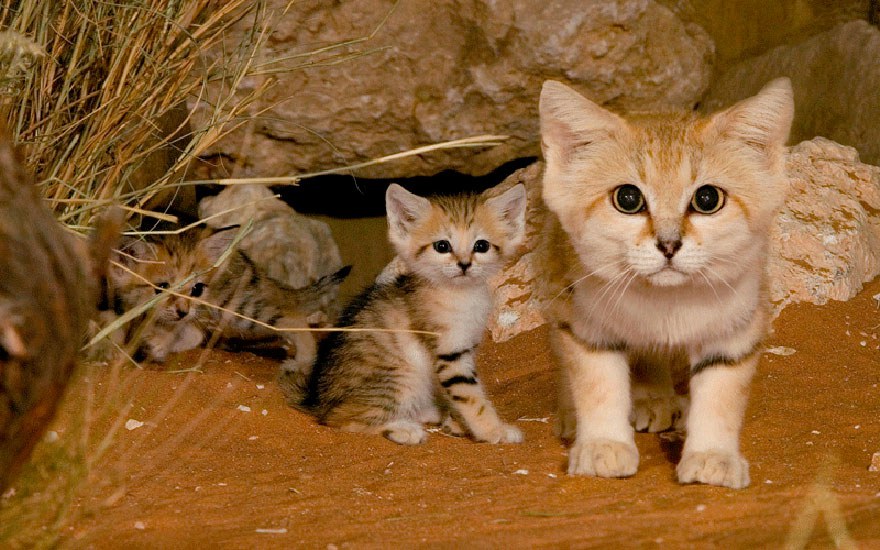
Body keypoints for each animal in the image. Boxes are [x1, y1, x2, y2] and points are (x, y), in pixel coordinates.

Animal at [112, 226, 350, 368]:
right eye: (161, 288)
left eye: (196, 289)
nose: (183, 311)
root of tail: (254, 268)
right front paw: (152, 346)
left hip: (238, 309)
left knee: (291, 319)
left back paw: (303, 361)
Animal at [282, 183, 524, 446]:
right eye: (442, 246)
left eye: (481, 246)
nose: (464, 264)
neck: (459, 293)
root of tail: (316, 401)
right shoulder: (449, 352)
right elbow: (471, 397)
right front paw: (494, 431)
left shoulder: (463, 349)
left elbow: (456, 393)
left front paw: (459, 421)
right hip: (402, 376)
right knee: (339, 418)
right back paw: (403, 429)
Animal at [540, 75, 796, 490]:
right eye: (628, 198)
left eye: (707, 199)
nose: (669, 244)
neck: (665, 301)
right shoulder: (584, 323)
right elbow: (598, 385)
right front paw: (603, 445)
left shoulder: (737, 328)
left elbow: (720, 396)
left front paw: (712, 456)